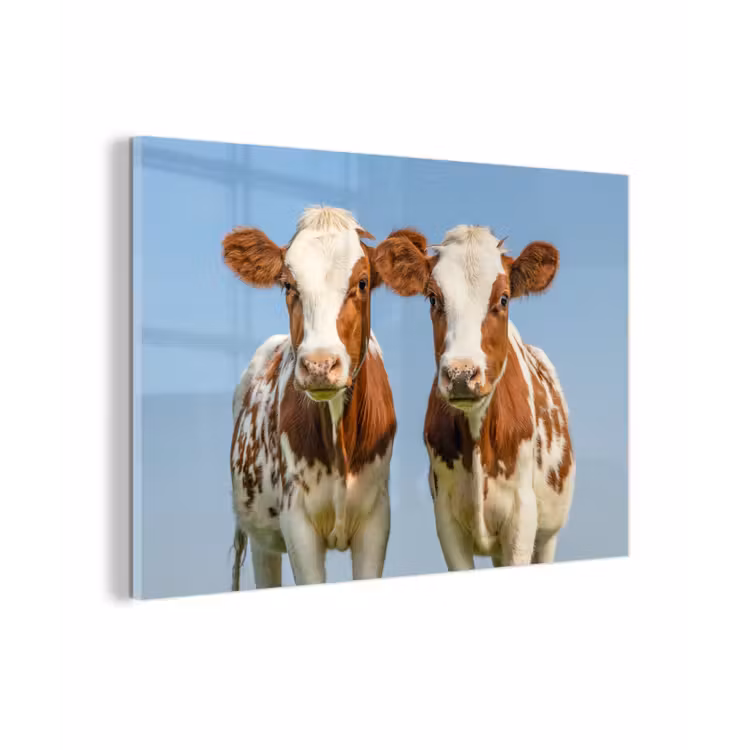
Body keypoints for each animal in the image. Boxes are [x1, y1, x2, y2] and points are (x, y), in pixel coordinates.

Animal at [223, 207, 397, 589]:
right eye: (289, 285)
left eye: (362, 282)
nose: (319, 364)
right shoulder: (296, 521)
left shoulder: (377, 518)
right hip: (261, 537)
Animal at [373, 225, 575, 569]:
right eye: (433, 298)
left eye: (503, 298)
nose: (461, 375)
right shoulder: (446, 519)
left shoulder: (522, 519)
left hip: (548, 534)